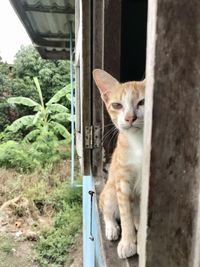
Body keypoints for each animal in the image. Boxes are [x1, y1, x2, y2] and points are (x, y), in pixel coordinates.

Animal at [93, 69, 145, 260]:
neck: (138, 143)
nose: (130, 118)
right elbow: (124, 214)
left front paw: (140, 239)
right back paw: (112, 227)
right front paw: (128, 242)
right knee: (106, 210)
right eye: (117, 105)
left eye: (142, 102)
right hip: (109, 192)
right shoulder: (122, 180)